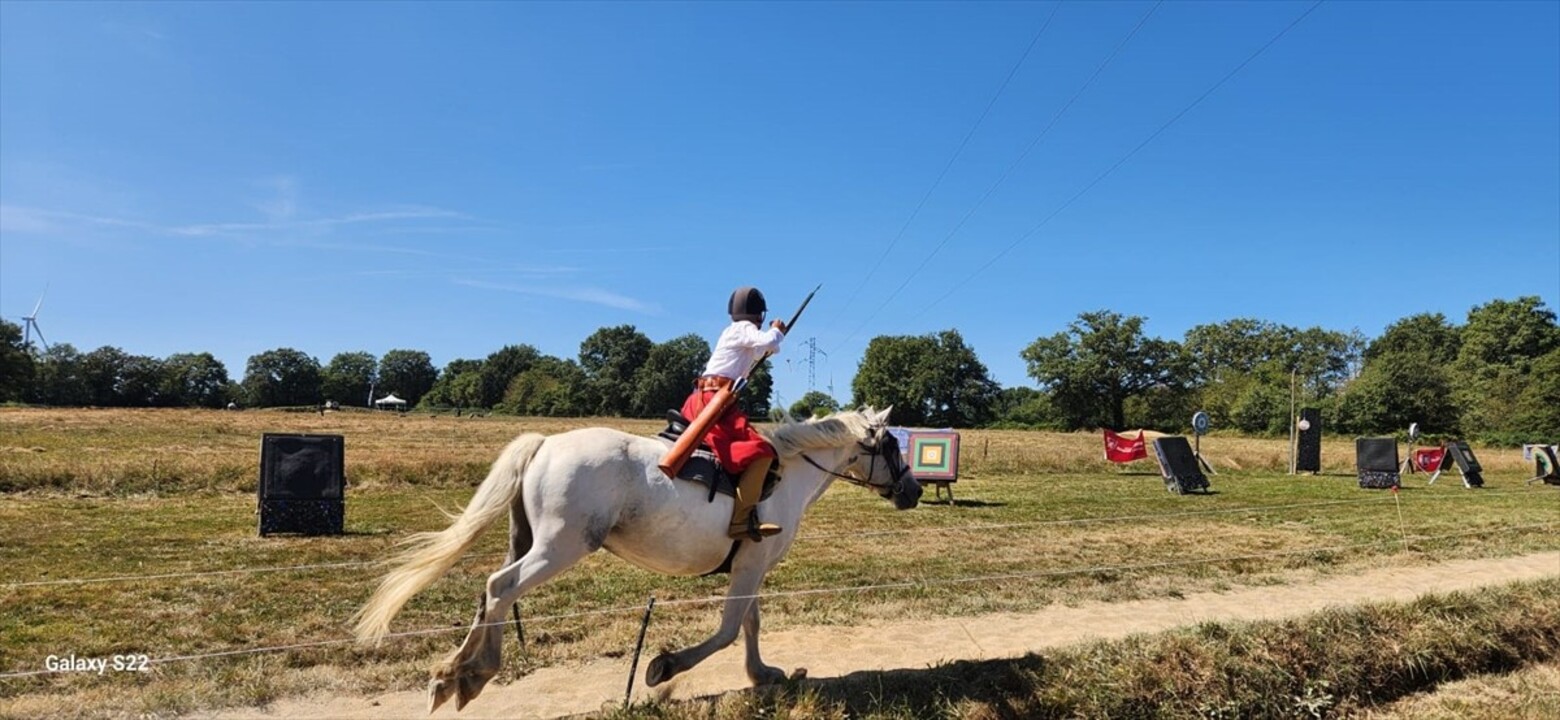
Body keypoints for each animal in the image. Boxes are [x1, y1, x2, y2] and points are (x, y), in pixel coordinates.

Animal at [352, 405, 911, 713]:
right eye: (893, 444)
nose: (913, 490)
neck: (788, 474)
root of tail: (544, 445)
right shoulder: (751, 566)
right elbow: (729, 629)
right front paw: (664, 666)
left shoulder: (750, 567)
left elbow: (750, 624)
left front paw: (762, 674)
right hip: (560, 547)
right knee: (499, 587)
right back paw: (473, 672)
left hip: (531, 543)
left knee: (488, 595)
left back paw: (453, 675)